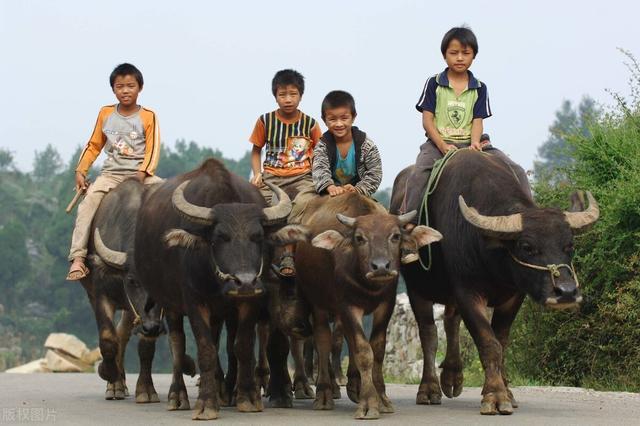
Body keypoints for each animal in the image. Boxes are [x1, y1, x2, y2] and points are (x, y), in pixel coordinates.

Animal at [132, 157, 308, 420]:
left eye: (258, 237)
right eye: (219, 237)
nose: (245, 281)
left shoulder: (248, 302)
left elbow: (240, 347)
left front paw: (247, 398)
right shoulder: (195, 302)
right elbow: (205, 350)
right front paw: (206, 403)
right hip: (169, 303)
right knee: (177, 343)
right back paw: (178, 396)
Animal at [294, 194, 440, 420]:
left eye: (395, 236)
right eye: (360, 238)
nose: (381, 267)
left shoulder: (385, 305)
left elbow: (377, 349)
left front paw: (381, 398)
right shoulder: (347, 306)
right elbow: (363, 351)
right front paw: (369, 403)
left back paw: (353, 386)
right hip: (317, 303)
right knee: (322, 341)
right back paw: (324, 394)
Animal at [390, 148, 600, 414]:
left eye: (569, 245)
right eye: (526, 246)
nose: (566, 292)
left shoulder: (513, 295)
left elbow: (502, 343)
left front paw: (507, 391)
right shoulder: (468, 292)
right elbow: (489, 343)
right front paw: (496, 396)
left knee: (450, 320)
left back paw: (452, 376)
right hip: (418, 288)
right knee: (429, 334)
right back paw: (429, 389)